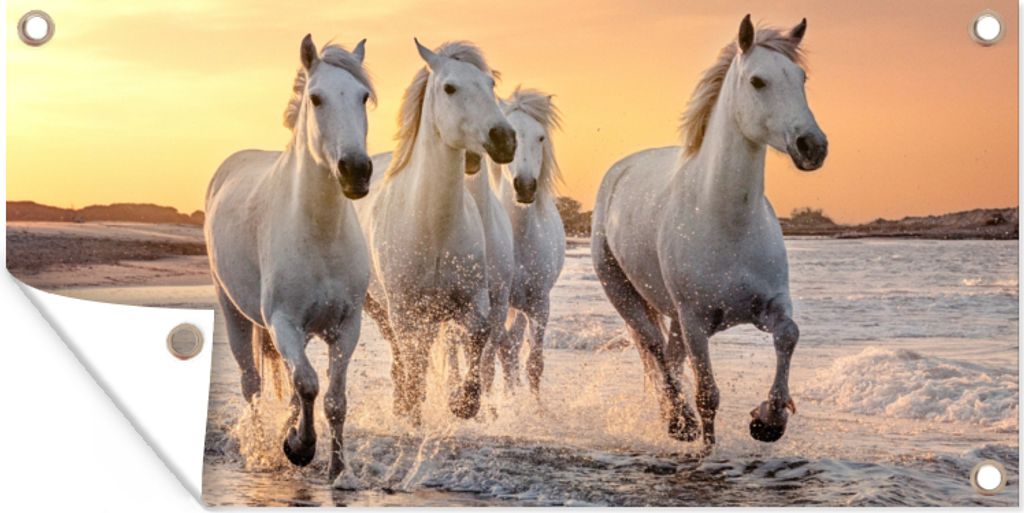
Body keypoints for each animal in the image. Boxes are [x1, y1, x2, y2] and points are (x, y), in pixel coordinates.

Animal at [204, 35, 374, 488]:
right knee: (253, 384)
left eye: (363, 97)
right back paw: (264, 448)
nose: (356, 171)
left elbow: (333, 398)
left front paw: (337, 469)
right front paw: (300, 448)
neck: (320, 234)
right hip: (235, 311)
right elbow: (308, 384)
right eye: (316, 98)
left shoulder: (346, 326)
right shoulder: (283, 321)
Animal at [356, 40, 516, 424]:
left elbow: (478, 336)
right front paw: (412, 409)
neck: (434, 229)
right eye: (449, 88)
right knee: (402, 354)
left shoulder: (473, 300)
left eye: (490, 84)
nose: (504, 139)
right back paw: (403, 405)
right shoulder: (404, 309)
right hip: (379, 307)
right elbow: (413, 360)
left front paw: (463, 403)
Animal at [488, 87, 566, 396]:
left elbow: (533, 363)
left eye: (541, 137)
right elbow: (501, 353)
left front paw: (532, 405)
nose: (525, 187)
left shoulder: (539, 304)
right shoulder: (495, 303)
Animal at [591, 15, 828, 447]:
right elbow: (708, 396)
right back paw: (679, 421)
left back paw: (673, 418)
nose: (812, 146)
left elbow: (789, 335)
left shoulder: (770, 305)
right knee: (654, 349)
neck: (726, 221)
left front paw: (769, 419)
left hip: (673, 317)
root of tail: (619, 171)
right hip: (624, 293)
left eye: (801, 77)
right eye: (757, 81)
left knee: (669, 356)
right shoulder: (696, 321)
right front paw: (708, 445)